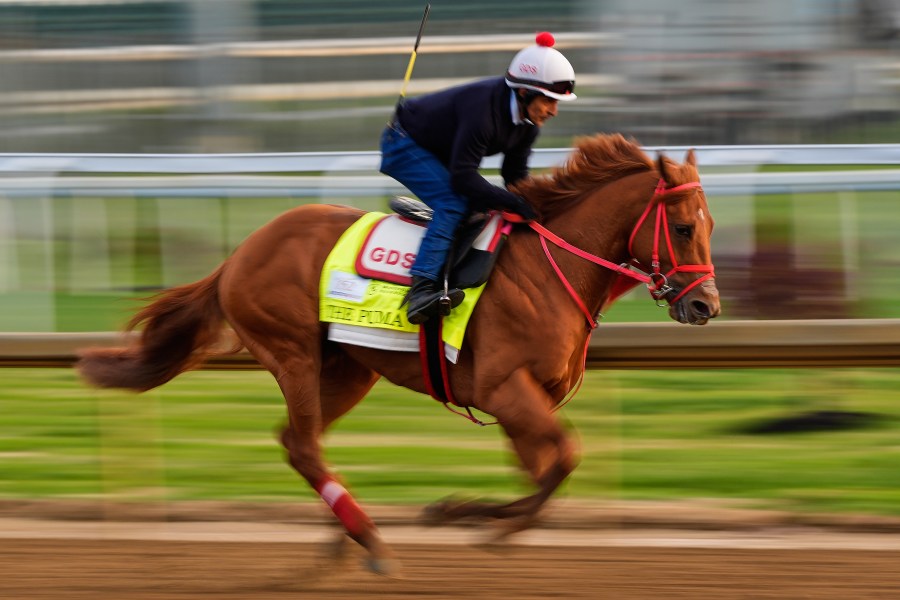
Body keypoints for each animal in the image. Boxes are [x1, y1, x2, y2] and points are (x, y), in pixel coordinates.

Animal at [77, 133, 720, 576]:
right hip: (294, 352)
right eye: (684, 228)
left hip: (348, 369)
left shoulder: (526, 402)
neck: (551, 268)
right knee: (304, 446)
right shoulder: (505, 389)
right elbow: (563, 459)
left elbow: (544, 471)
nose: (706, 306)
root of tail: (239, 254)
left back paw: (347, 539)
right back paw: (370, 540)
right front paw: (465, 517)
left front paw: (473, 515)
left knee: (298, 442)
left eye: (709, 225)